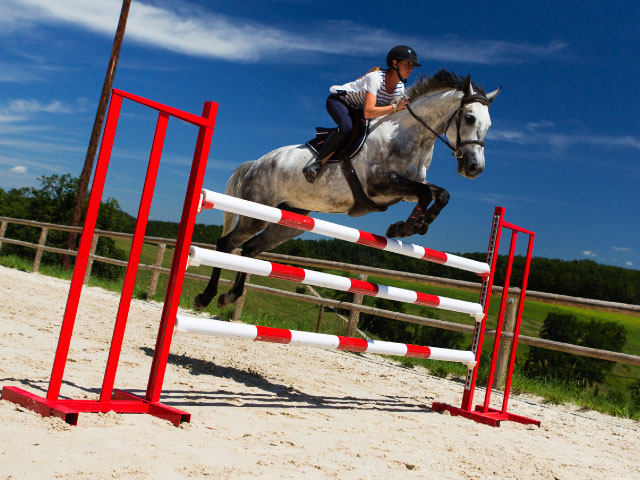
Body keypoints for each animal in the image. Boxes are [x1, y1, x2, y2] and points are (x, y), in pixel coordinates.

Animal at [195, 69, 501, 310]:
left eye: (489, 124)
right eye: (469, 118)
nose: (474, 168)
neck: (412, 136)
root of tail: (255, 163)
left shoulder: (402, 190)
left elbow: (439, 194)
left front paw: (411, 226)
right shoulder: (380, 184)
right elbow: (428, 193)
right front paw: (406, 227)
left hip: (290, 221)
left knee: (249, 249)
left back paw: (229, 296)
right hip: (256, 212)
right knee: (226, 244)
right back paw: (205, 297)